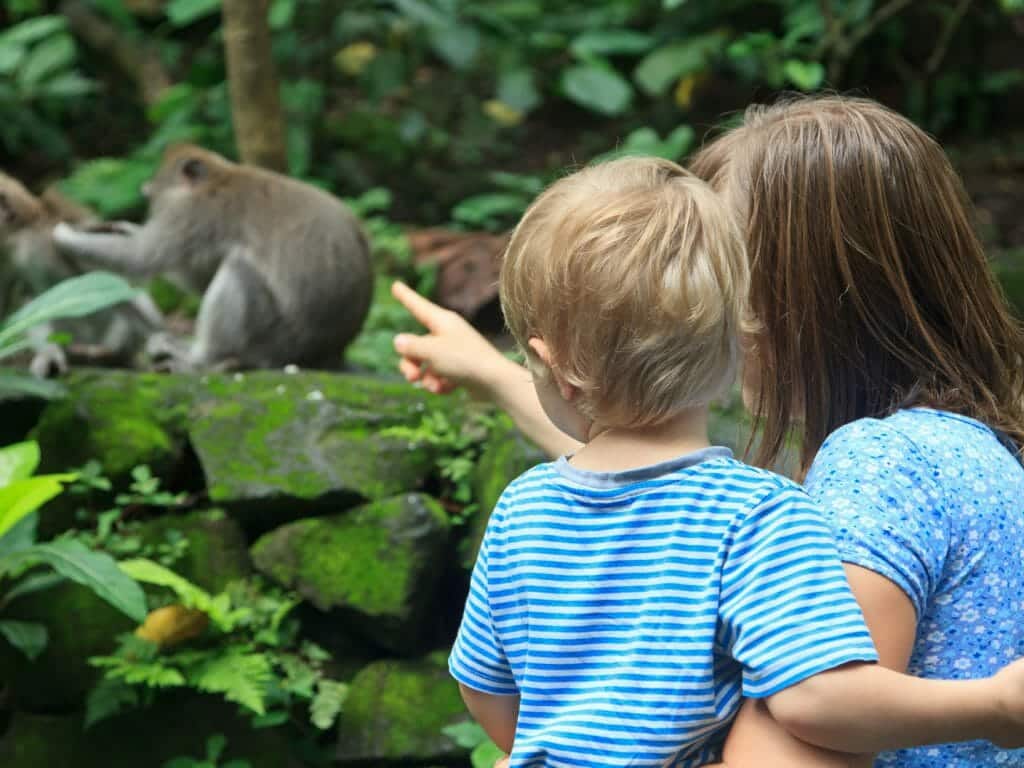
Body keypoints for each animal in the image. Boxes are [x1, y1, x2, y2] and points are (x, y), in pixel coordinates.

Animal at [53, 145, 374, 372]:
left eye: (154, 196)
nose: (147, 197)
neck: (219, 176)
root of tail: (328, 354)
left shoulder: (194, 213)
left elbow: (143, 257)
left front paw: (65, 236)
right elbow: (198, 276)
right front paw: (121, 227)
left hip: (275, 343)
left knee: (238, 269)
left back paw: (201, 357)